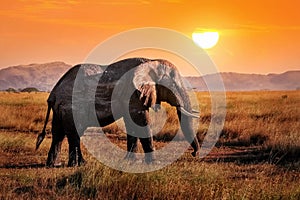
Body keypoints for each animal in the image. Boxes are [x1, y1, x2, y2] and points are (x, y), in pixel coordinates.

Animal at [35, 57, 199, 166]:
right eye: (173, 84)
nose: (194, 154)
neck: (150, 61)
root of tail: (53, 92)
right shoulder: (133, 93)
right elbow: (141, 122)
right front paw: (154, 163)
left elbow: (132, 124)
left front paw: (130, 162)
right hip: (72, 106)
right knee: (74, 133)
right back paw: (79, 164)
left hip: (60, 109)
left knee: (58, 133)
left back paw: (53, 165)